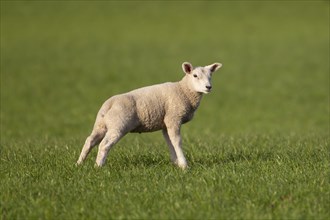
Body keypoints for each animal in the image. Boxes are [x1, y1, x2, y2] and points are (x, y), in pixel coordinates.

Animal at [76, 61, 223, 169]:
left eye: (210, 76)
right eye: (195, 76)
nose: (208, 87)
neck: (184, 90)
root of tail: (109, 104)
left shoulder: (165, 123)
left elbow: (170, 142)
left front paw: (176, 163)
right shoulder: (173, 118)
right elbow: (177, 141)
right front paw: (184, 165)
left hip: (101, 125)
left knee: (90, 141)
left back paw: (79, 163)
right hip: (119, 125)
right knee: (104, 145)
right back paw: (98, 166)